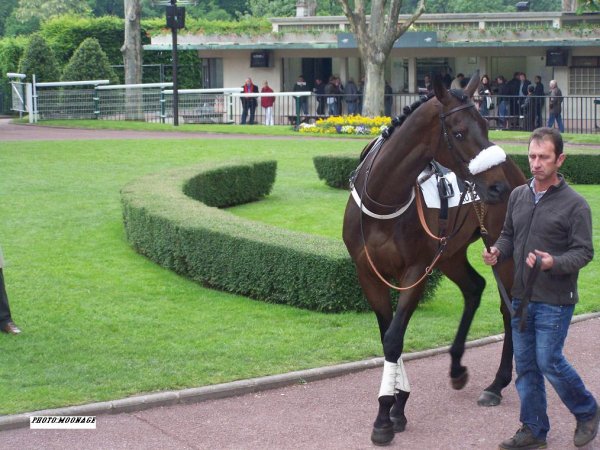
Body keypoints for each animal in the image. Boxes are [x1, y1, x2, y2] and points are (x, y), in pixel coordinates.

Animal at [342, 72, 524, 444]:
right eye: (459, 132)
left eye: (487, 125)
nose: (497, 187)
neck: (384, 197)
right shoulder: (368, 273)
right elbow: (388, 336)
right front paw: (397, 405)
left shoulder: (415, 271)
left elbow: (394, 338)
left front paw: (386, 414)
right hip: (449, 253)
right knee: (474, 287)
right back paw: (456, 366)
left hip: (500, 251)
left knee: (508, 307)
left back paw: (497, 384)